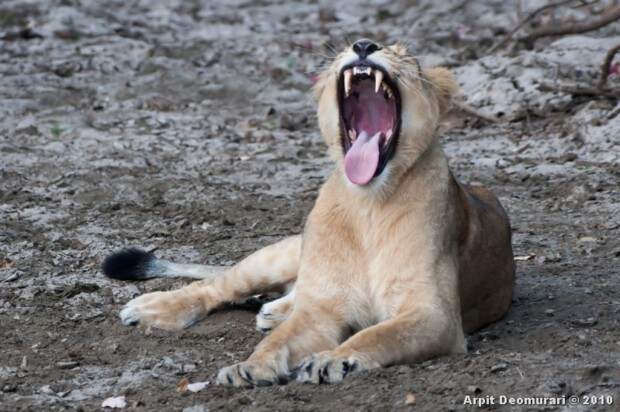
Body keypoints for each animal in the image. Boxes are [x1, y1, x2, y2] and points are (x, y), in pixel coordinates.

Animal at [104, 38, 516, 386]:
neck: (368, 204)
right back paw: (153, 307)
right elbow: (278, 341)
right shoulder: (321, 311)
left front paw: (333, 359)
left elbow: (378, 334)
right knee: (216, 285)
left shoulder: (436, 316)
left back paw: (273, 310)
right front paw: (248, 367)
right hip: (276, 256)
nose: (364, 45)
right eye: (357, 44)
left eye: (406, 56)